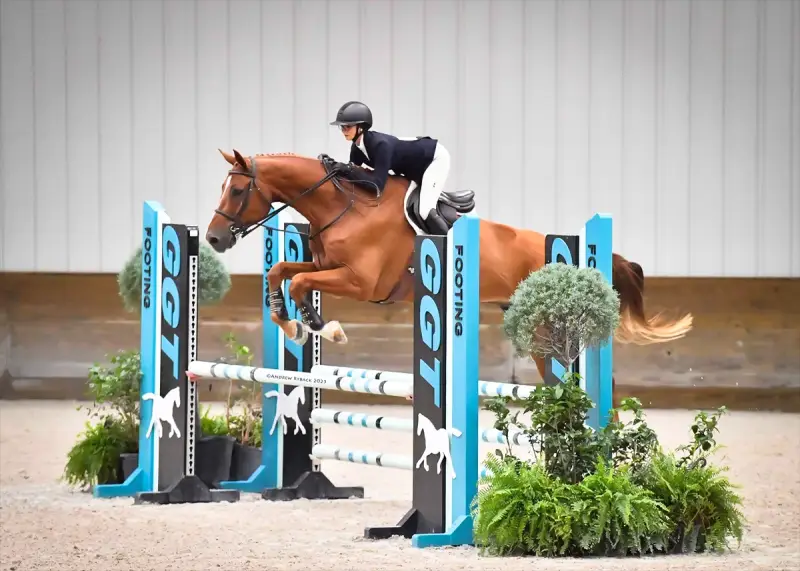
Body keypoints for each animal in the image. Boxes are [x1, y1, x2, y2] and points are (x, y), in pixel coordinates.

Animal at [206, 148, 693, 398]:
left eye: (237, 189)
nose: (213, 238)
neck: (345, 206)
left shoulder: (361, 282)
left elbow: (302, 282)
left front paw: (323, 327)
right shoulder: (328, 266)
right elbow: (282, 271)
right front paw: (292, 323)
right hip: (539, 334)